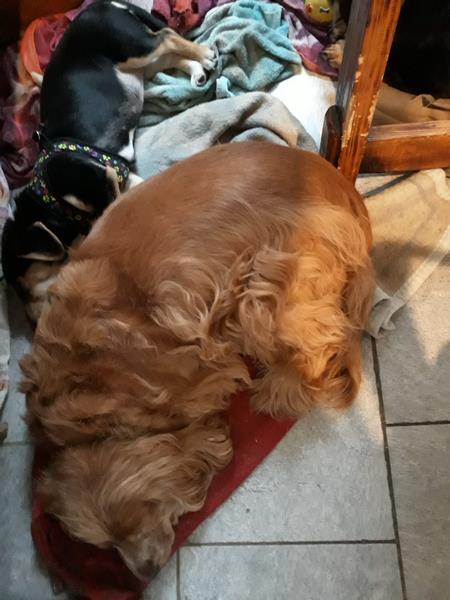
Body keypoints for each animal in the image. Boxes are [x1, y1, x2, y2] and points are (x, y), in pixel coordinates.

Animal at [2, 0, 216, 322]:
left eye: (18, 280)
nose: (32, 322)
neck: (48, 201)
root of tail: (102, 5)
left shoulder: (97, 177)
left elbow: (110, 215)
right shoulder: (118, 177)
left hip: (130, 46)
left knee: (166, 36)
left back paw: (204, 55)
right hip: (136, 65)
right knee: (168, 55)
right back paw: (197, 70)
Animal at [21, 142, 375, 580]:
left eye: (144, 514)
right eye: (107, 545)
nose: (146, 573)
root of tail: (346, 189)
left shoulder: (200, 373)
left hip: (267, 278)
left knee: (319, 347)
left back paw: (277, 390)